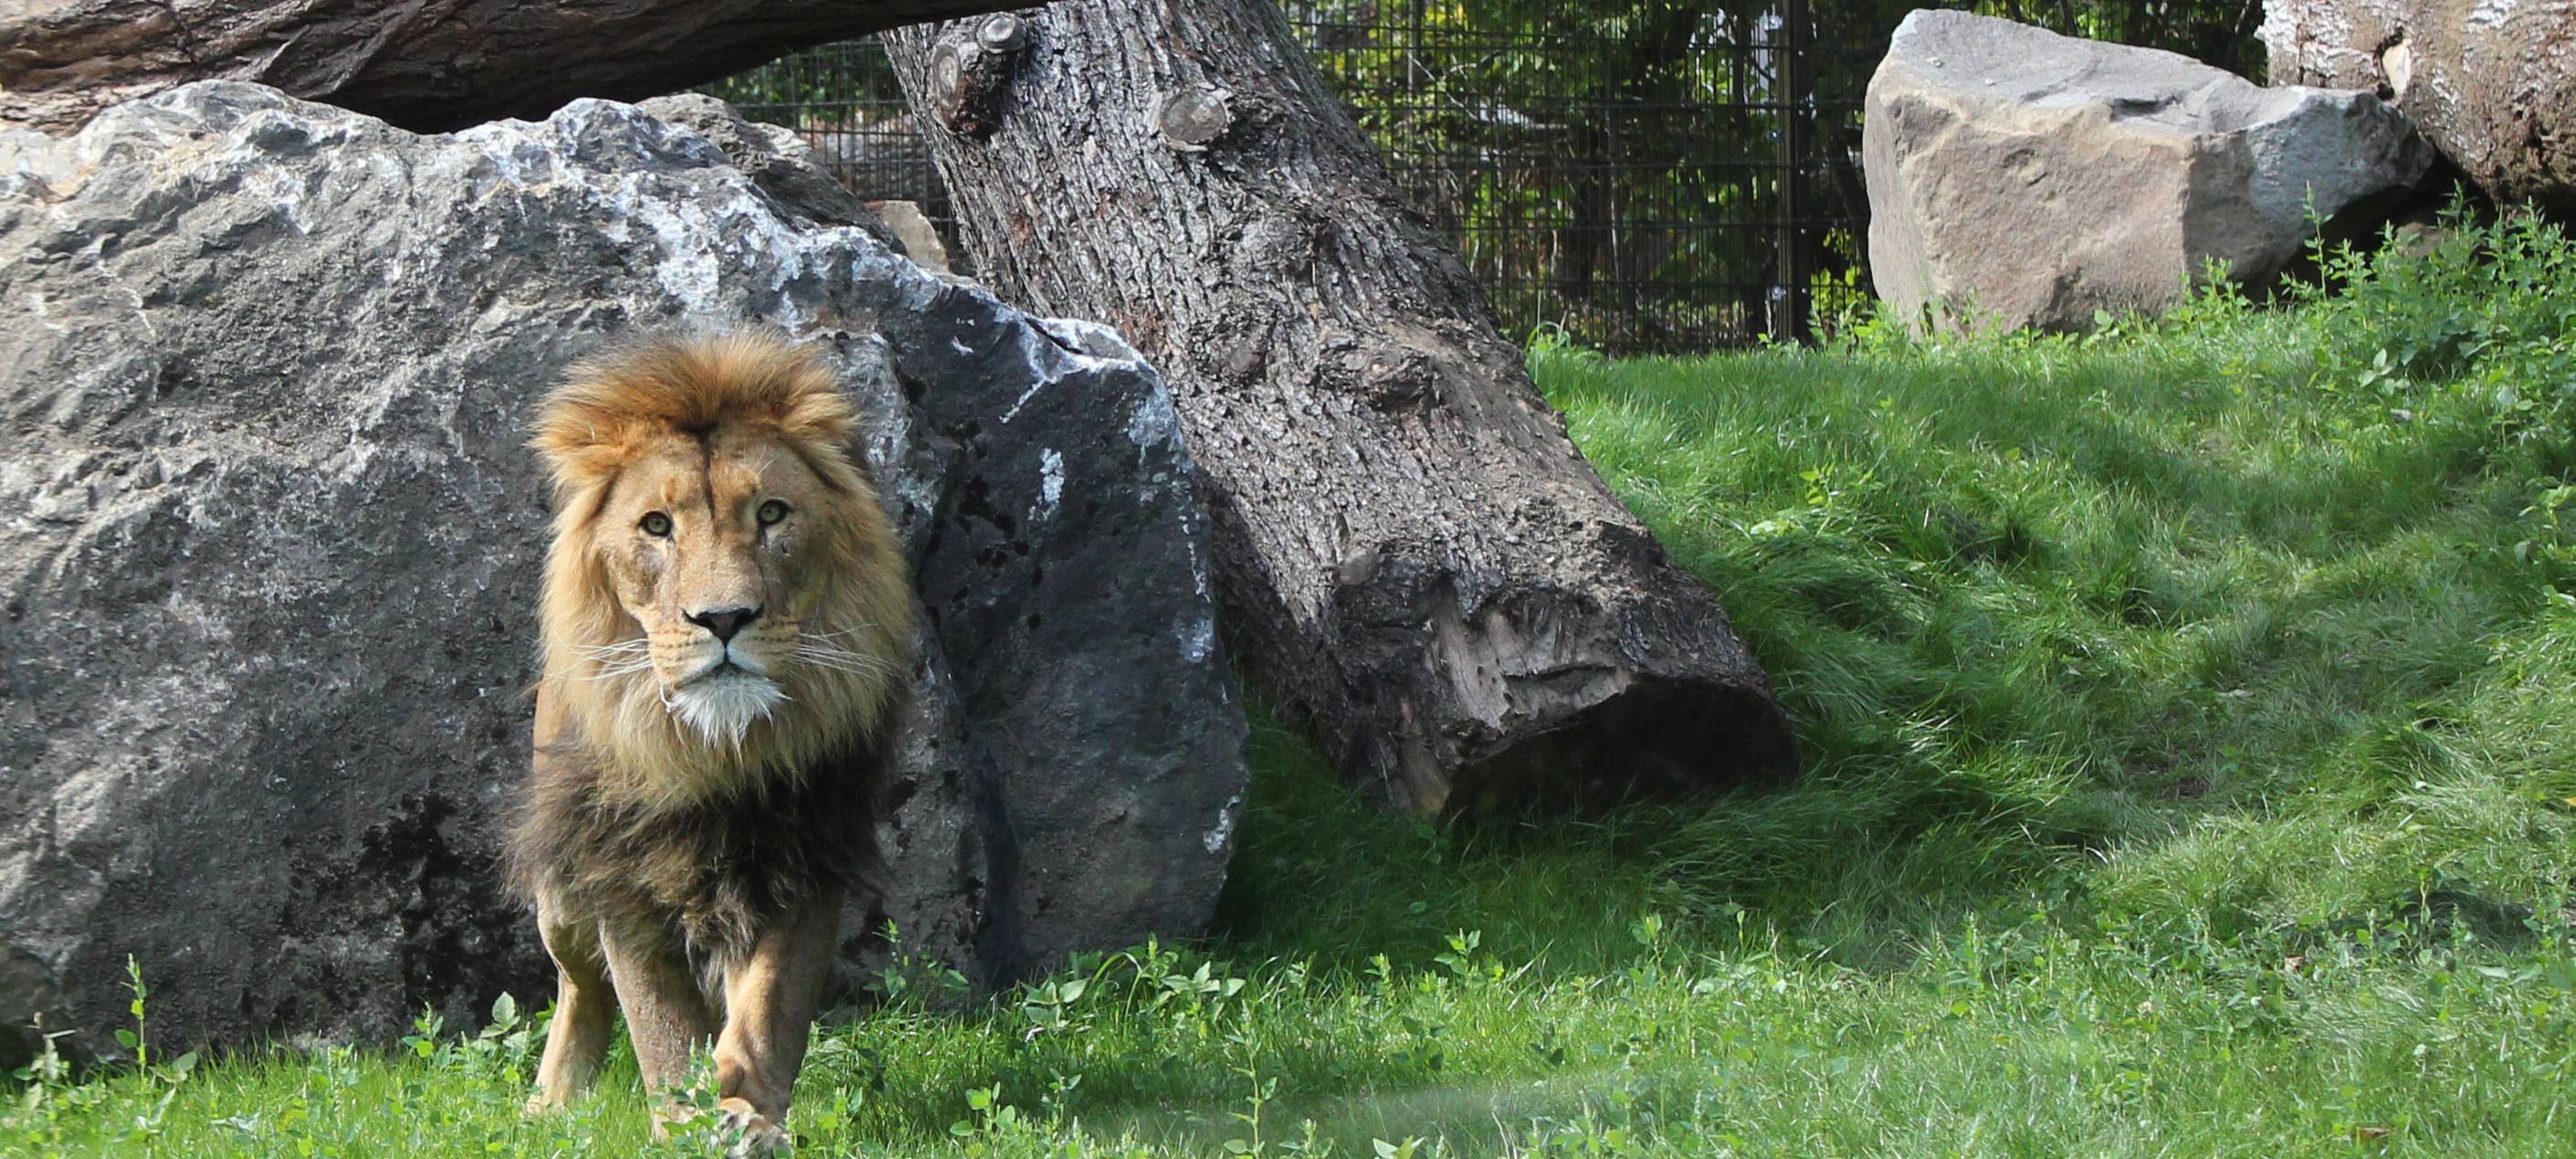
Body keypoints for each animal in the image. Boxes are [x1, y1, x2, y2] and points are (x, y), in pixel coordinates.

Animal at [506, 330, 913, 1154]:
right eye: (656, 526)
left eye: (772, 513)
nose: (723, 618)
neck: (714, 751)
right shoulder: (618, 870)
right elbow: (658, 1022)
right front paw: (687, 1121)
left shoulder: (804, 854)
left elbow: (769, 1008)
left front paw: (745, 1107)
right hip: (561, 894)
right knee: (577, 983)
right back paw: (552, 1103)